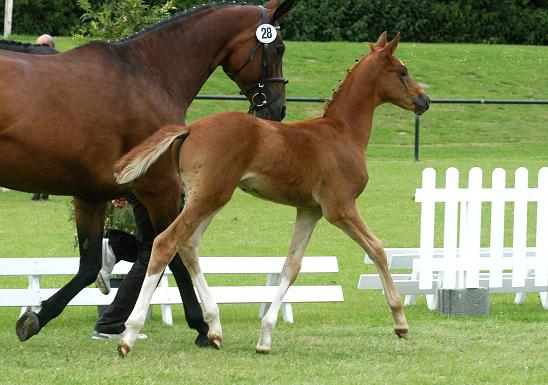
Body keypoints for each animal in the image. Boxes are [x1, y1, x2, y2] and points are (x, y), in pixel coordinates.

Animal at [114, 31, 428, 356]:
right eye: (402, 71)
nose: (424, 100)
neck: (342, 132)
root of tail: (191, 128)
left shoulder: (310, 211)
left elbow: (291, 266)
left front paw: (265, 337)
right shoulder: (340, 208)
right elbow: (377, 249)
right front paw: (400, 322)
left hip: (209, 199)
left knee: (188, 245)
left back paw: (214, 328)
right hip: (208, 198)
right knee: (166, 242)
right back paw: (129, 334)